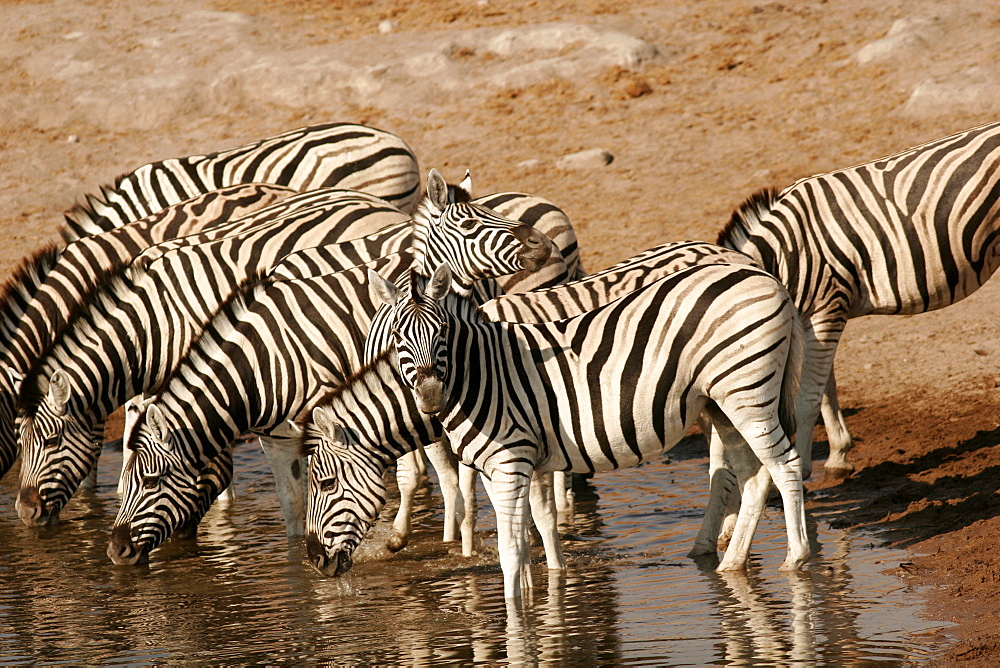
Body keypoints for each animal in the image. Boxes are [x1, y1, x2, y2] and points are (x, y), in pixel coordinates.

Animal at [316, 262, 808, 600]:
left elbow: (512, 548)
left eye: (325, 483)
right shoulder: (521, 463)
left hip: (746, 391)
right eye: (398, 338)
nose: (314, 561)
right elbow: (543, 530)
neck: (477, 377)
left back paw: (795, 560)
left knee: (785, 466)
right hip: (722, 403)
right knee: (754, 476)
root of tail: (765, 277)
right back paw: (731, 566)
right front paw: (548, 593)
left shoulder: (509, 461)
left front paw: (516, 618)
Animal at [716, 118, 1000, 474]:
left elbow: (808, 396)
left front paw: (806, 468)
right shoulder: (814, 320)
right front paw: (839, 455)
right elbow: (827, 388)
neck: (784, 255)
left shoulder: (827, 310)